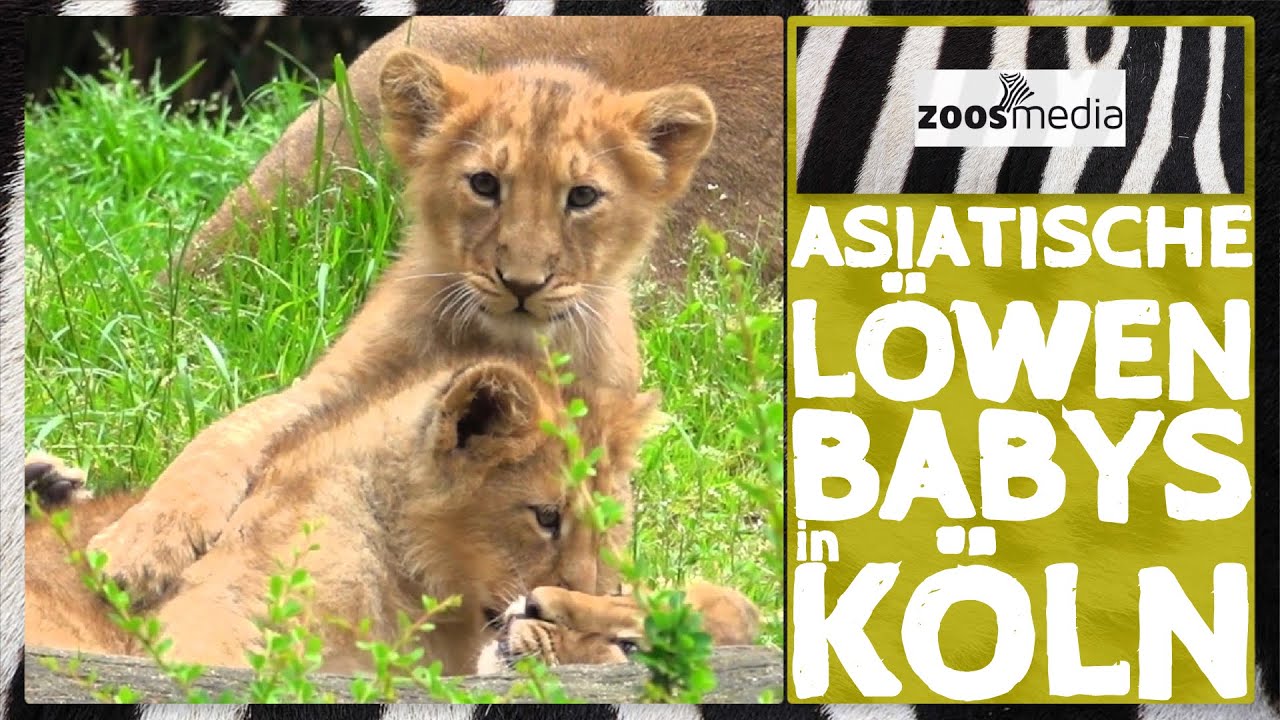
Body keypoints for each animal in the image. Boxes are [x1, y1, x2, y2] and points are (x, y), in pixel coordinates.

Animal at [85, 18, 771, 606]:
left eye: (582, 197)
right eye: (485, 184)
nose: (522, 283)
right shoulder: (333, 388)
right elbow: (222, 438)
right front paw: (135, 548)